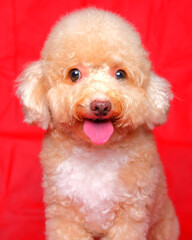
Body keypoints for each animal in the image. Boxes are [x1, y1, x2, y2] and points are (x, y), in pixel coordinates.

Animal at [15, 7, 179, 240]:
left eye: (120, 74)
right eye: (74, 74)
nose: (101, 105)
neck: (95, 154)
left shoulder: (130, 215)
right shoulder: (64, 214)